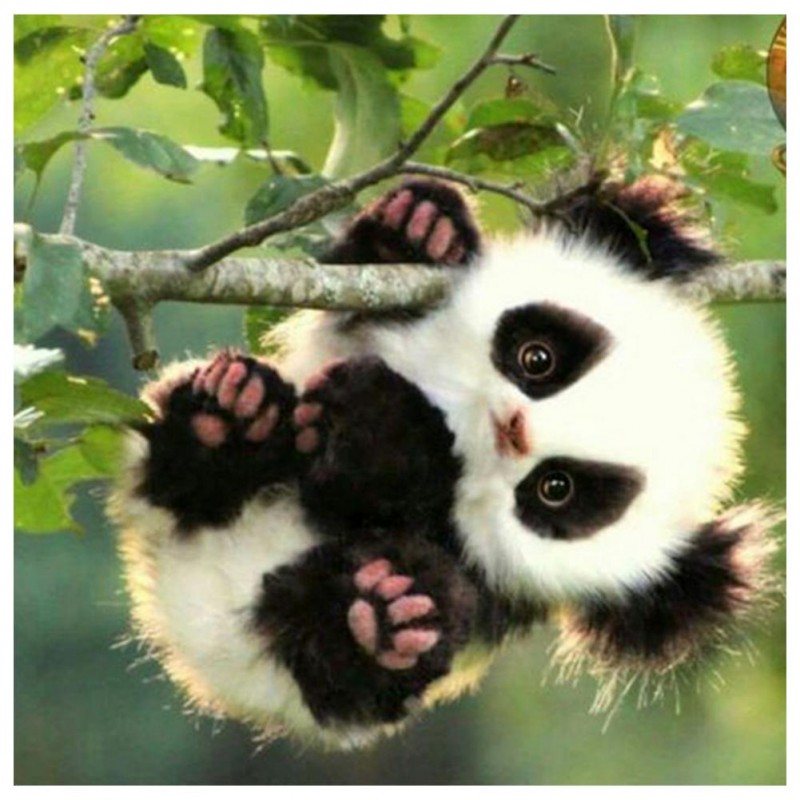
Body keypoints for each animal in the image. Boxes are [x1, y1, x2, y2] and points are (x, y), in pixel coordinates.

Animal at [109, 177, 778, 750]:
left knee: (354, 645)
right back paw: (228, 419)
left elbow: (398, 500)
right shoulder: (347, 337)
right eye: (539, 359)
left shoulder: (488, 581)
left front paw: (382, 427)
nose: (512, 426)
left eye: (556, 488)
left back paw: (387, 616)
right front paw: (420, 228)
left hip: (309, 665)